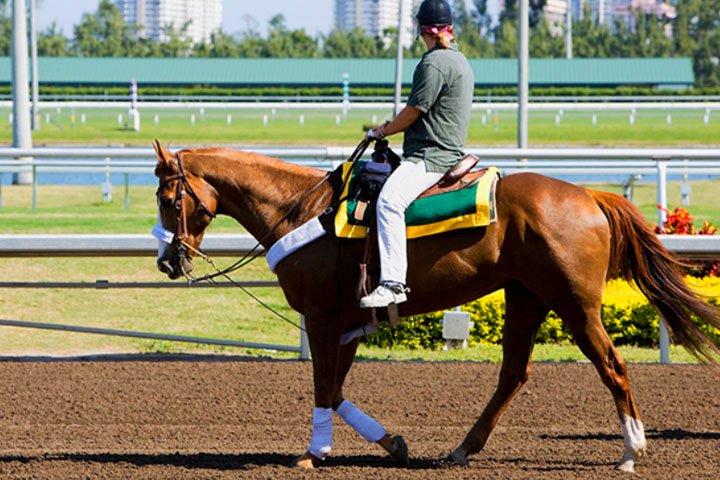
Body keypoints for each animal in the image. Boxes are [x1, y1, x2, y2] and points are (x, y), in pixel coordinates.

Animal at [153, 142, 720, 472]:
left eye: (166, 197)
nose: (166, 260)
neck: (302, 208)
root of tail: (588, 195)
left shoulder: (321, 317)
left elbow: (323, 388)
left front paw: (314, 454)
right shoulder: (345, 325)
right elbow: (335, 390)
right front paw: (392, 443)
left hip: (575, 306)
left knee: (613, 366)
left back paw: (630, 451)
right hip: (526, 299)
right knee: (513, 374)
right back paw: (463, 449)